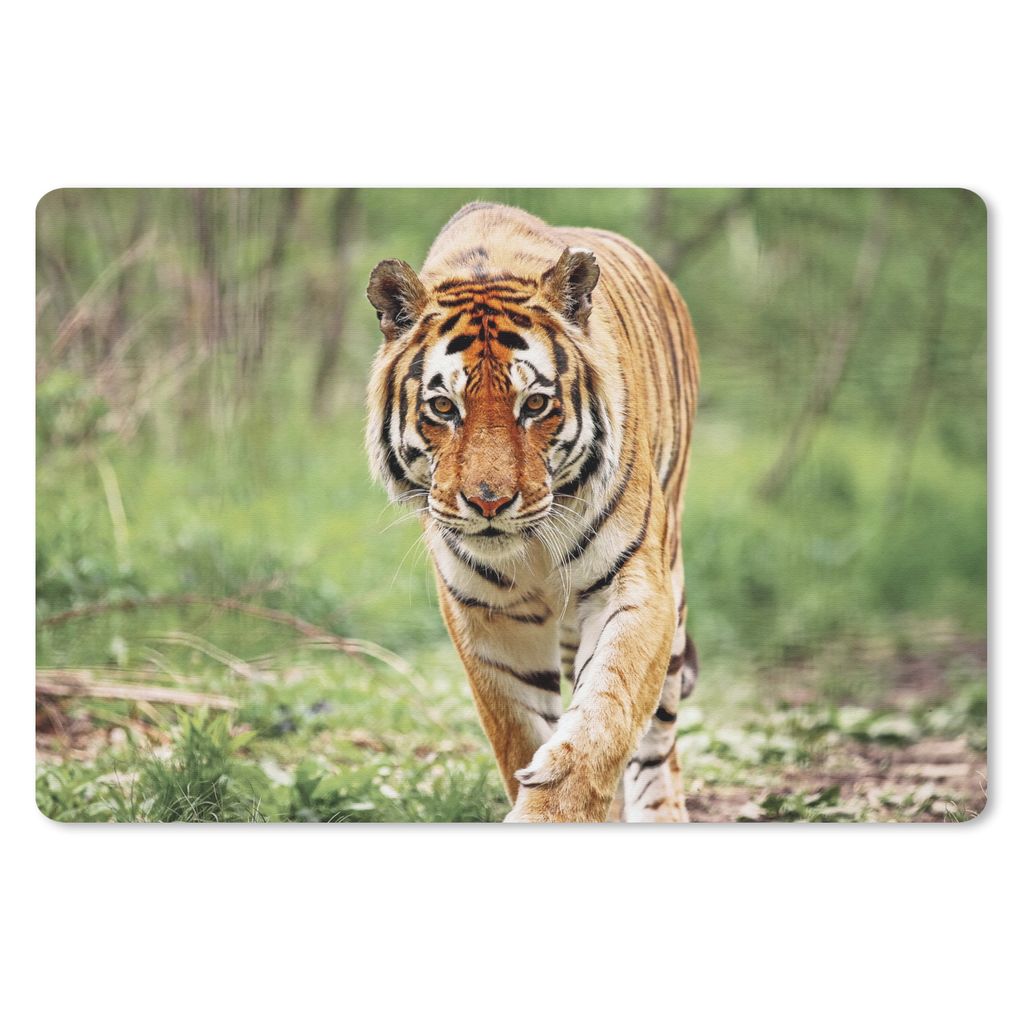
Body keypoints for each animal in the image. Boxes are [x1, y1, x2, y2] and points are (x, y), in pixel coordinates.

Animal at [365, 201, 699, 823]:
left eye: (536, 404)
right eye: (443, 407)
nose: (489, 501)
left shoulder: (633, 585)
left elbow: (606, 712)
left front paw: (556, 806)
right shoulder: (488, 614)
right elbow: (520, 732)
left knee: (658, 744)